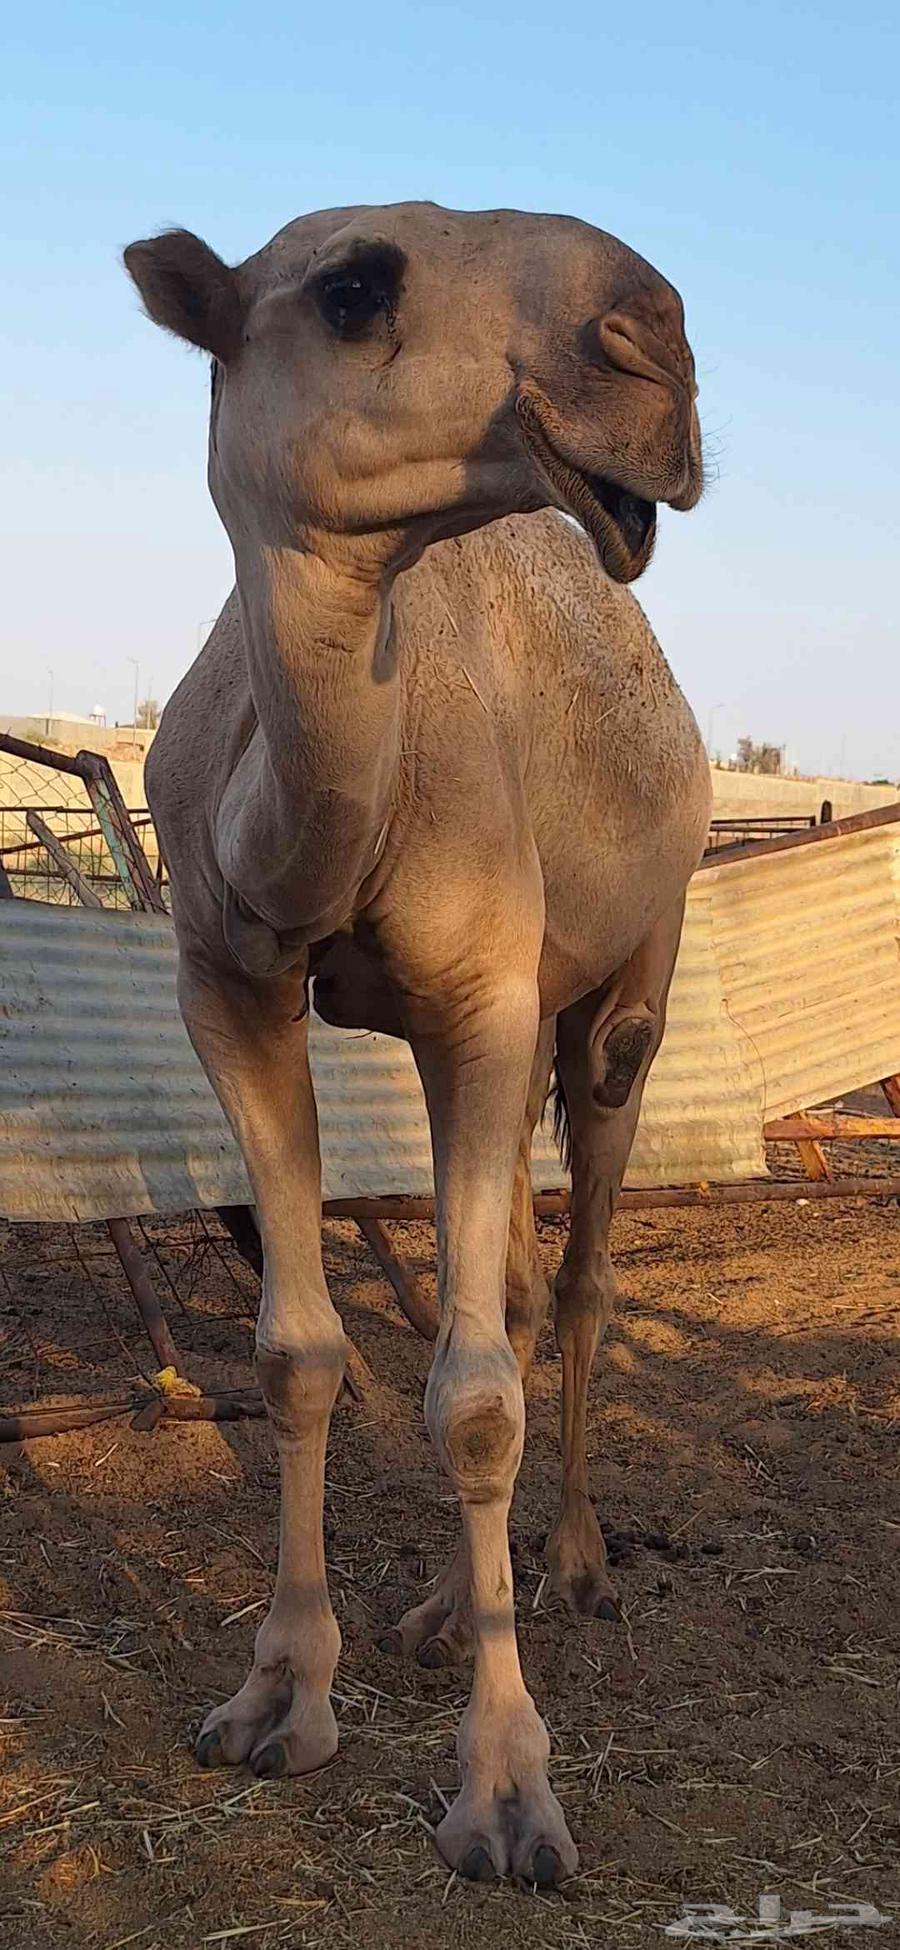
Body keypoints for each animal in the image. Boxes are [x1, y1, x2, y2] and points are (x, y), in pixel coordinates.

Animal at [124, 200, 711, 1889]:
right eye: (354, 286)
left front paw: (507, 1789)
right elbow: (302, 1350)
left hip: (625, 980)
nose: (655, 341)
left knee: (576, 1268)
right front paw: (277, 1695)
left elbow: (477, 1394)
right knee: (506, 1276)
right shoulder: (228, 987)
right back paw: (454, 1598)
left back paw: (573, 1560)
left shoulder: (488, 998)